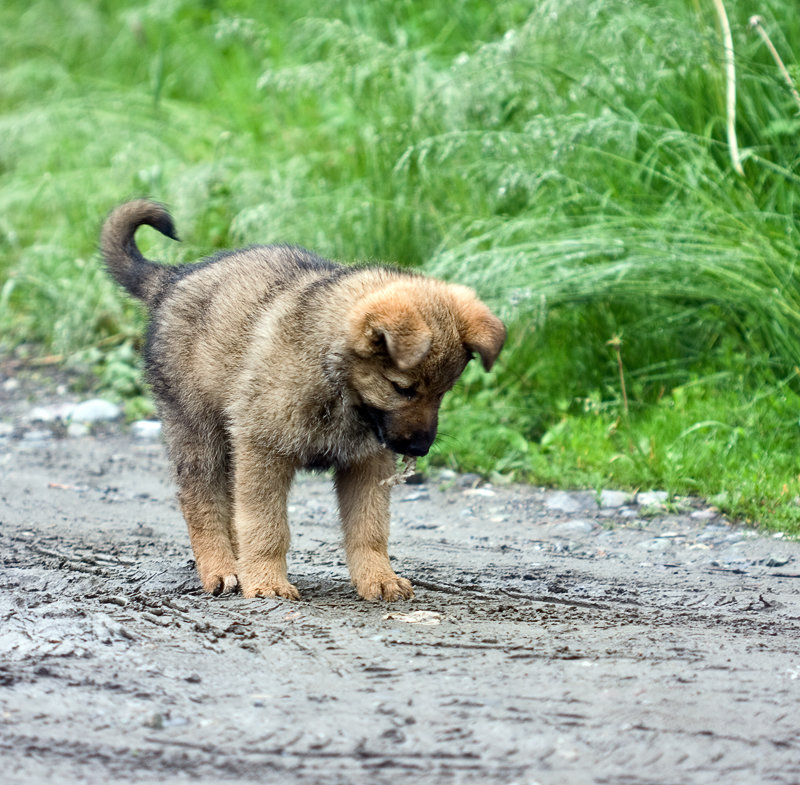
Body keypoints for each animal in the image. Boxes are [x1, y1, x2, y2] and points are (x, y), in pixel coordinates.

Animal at [100, 199, 506, 596]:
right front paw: (267, 582)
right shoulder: (263, 450)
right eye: (402, 388)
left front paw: (379, 577)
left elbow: (369, 528)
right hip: (197, 429)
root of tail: (173, 278)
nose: (420, 449)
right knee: (202, 500)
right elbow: (266, 526)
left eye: (443, 392)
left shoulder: (367, 462)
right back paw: (222, 569)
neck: (339, 387)